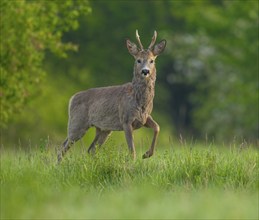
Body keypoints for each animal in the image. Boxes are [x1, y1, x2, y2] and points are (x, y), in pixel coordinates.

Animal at [57, 30, 167, 162]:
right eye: (138, 60)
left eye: (152, 60)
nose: (145, 71)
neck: (140, 101)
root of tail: (72, 98)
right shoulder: (126, 119)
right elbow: (132, 152)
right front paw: (135, 162)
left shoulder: (145, 117)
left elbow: (157, 127)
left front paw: (147, 154)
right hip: (77, 123)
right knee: (62, 147)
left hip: (103, 129)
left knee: (90, 150)